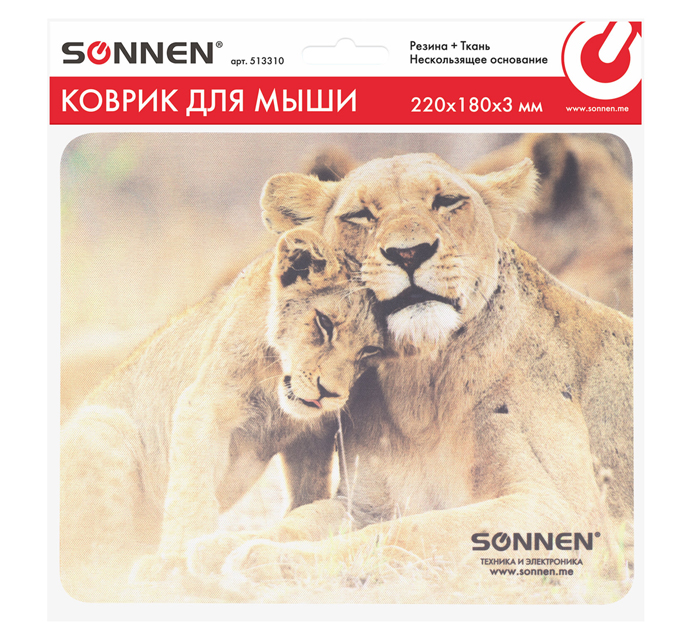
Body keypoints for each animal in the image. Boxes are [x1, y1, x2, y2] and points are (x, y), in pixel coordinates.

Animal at [59, 227, 385, 600]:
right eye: (324, 322)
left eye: (370, 350)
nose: (328, 393)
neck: (275, 381)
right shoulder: (202, 404)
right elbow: (192, 492)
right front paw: (175, 560)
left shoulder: (312, 435)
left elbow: (308, 492)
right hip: (100, 428)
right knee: (96, 563)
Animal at [187, 153, 633, 601]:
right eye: (361, 214)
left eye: (447, 201)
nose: (409, 253)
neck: (419, 384)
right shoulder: (363, 503)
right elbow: (300, 520)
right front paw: (207, 548)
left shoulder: (566, 512)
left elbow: (410, 531)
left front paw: (269, 560)